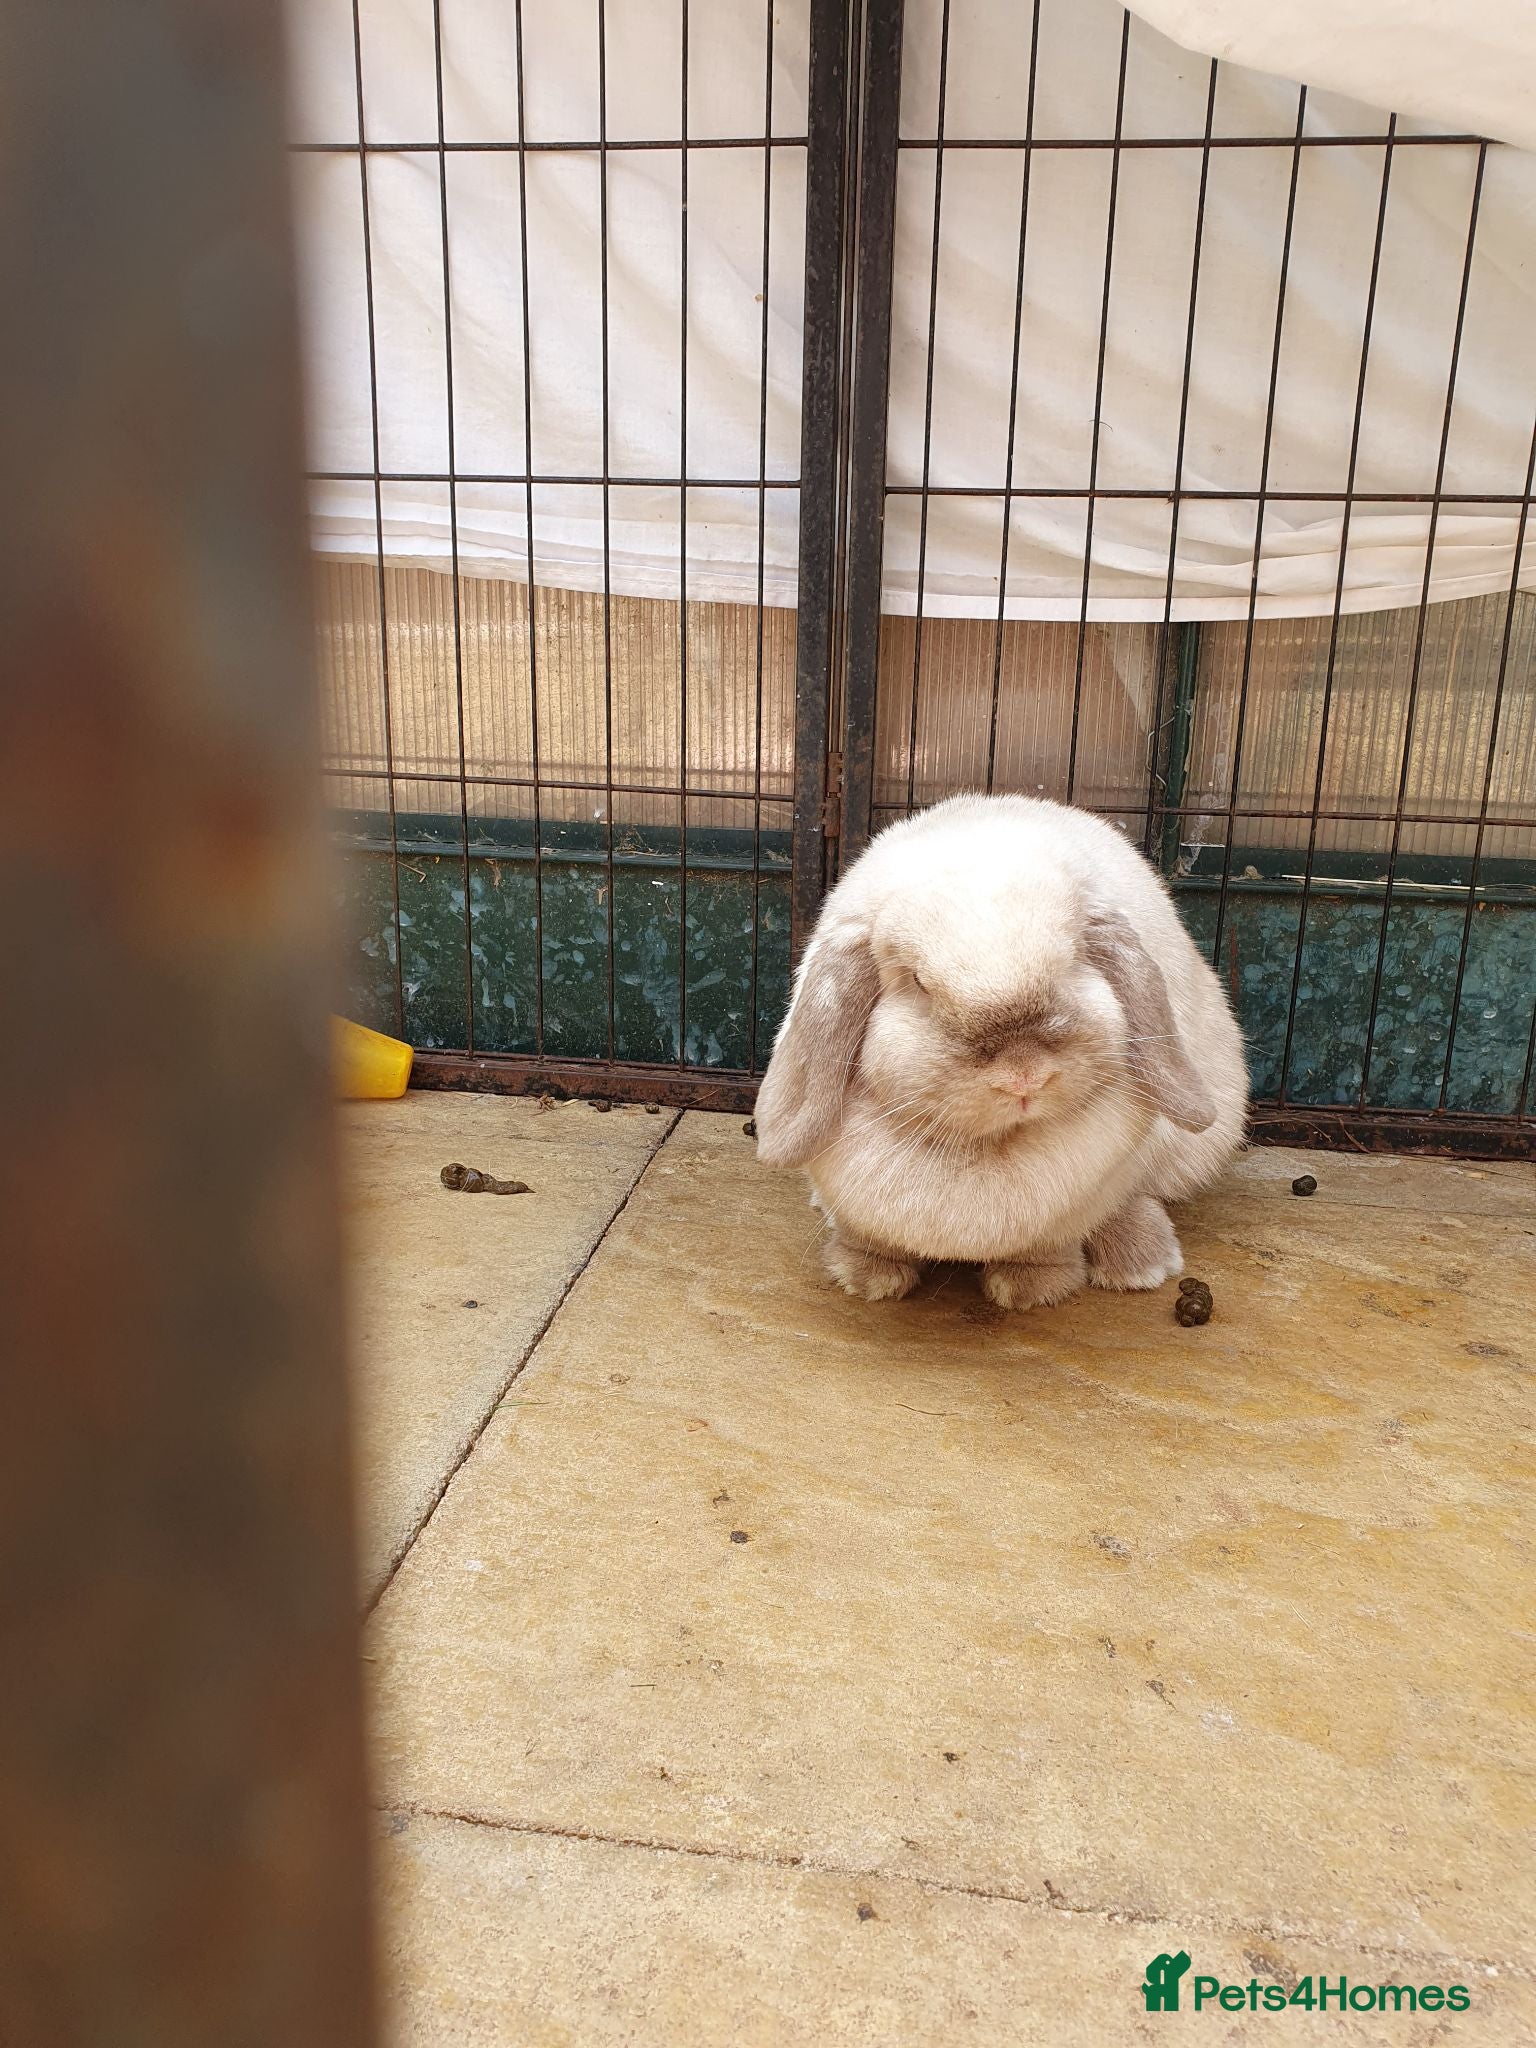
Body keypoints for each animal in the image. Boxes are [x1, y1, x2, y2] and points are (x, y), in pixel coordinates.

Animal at [753, 793, 1247, 1309]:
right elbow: (868, 1238)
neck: (985, 1149)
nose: (1023, 1078)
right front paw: (866, 1276)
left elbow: (1050, 1245)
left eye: (1074, 961)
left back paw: (1139, 1262)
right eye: (917, 982)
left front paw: (1028, 1288)